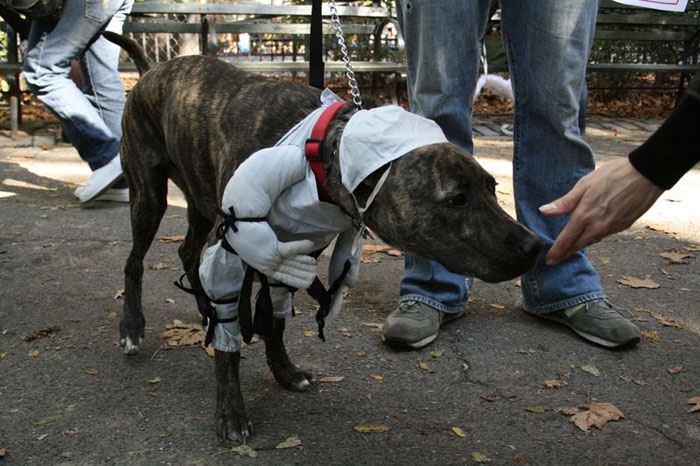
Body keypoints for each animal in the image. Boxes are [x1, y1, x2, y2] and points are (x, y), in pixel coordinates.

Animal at [106, 32, 544, 440]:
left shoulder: (290, 255)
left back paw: (203, 308)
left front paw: (285, 371)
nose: (535, 246)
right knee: (134, 261)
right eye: (455, 199)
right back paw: (132, 328)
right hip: (149, 196)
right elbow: (231, 345)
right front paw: (230, 411)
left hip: (198, 201)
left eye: (492, 187)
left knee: (186, 252)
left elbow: (275, 321)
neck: (321, 156)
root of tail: (150, 71)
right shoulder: (235, 246)